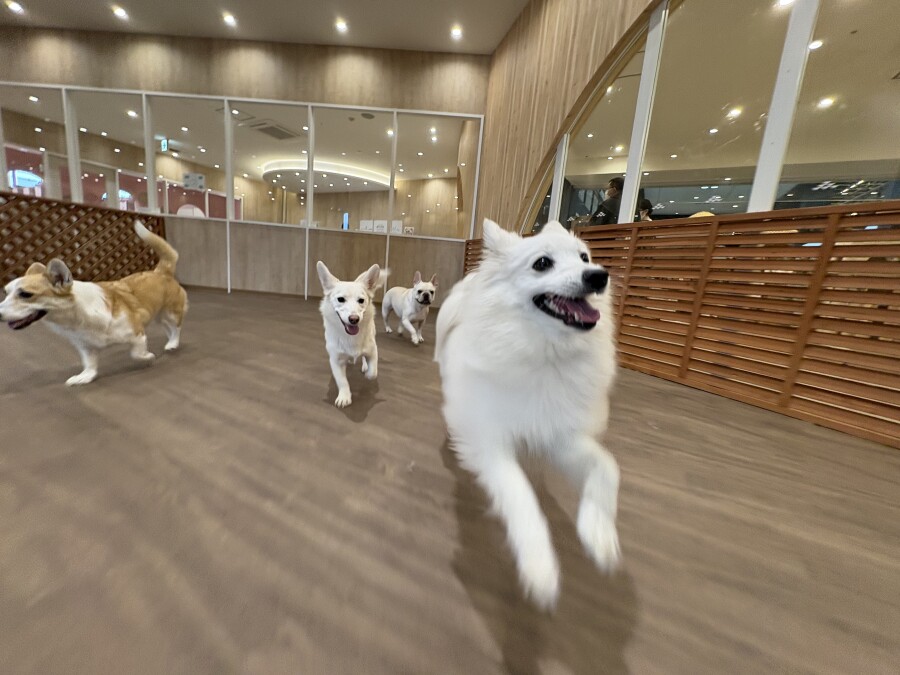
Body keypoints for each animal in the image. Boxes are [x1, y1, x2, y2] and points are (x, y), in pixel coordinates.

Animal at [0, 221, 187, 386]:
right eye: (6, 293)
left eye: (25, 294)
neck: (76, 317)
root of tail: (161, 271)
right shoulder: (86, 347)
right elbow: (90, 364)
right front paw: (84, 377)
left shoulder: (137, 334)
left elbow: (136, 353)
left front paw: (148, 357)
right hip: (160, 316)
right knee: (169, 329)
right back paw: (170, 342)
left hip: (170, 313)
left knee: (176, 328)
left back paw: (173, 343)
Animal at [317, 261, 389, 408]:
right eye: (340, 299)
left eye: (361, 300)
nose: (354, 319)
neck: (350, 337)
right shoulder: (336, 360)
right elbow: (342, 381)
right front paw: (344, 396)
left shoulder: (373, 351)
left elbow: (373, 372)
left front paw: (368, 373)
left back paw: (364, 365)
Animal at [435, 219, 619, 609]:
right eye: (542, 264)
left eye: (584, 258)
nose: (598, 276)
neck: (545, 353)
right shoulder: (491, 442)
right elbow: (520, 496)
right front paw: (540, 567)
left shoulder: (559, 436)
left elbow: (607, 467)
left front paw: (597, 532)